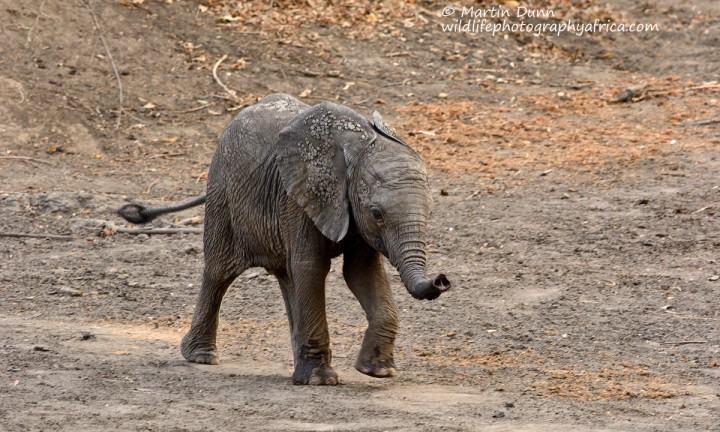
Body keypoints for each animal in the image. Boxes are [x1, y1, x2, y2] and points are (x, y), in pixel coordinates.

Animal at [118, 93, 450, 384]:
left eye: (431, 210)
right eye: (377, 213)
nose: (441, 280)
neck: (356, 149)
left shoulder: (349, 213)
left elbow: (360, 273)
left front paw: (378, 371)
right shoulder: (298, 199)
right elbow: (312, 267)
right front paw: (320, 381)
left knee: (288, 277)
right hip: (223, 194)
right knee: (219, 272)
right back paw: (202, 357)